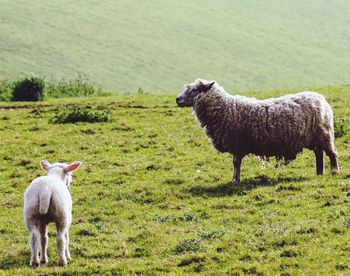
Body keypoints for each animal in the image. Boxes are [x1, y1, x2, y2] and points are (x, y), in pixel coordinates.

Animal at [176, 78, 340, 183]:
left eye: (194, 90)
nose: (177, 99)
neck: (225, 108)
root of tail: (321, 99)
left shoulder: (237, 143)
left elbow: (235, 162)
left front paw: (235, 180)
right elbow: (236, 163)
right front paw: (235, 179)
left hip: (324, 134)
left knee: (331, 153)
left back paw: (335, 171)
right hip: (315, 137)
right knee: (319, 154)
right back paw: (319, 173)